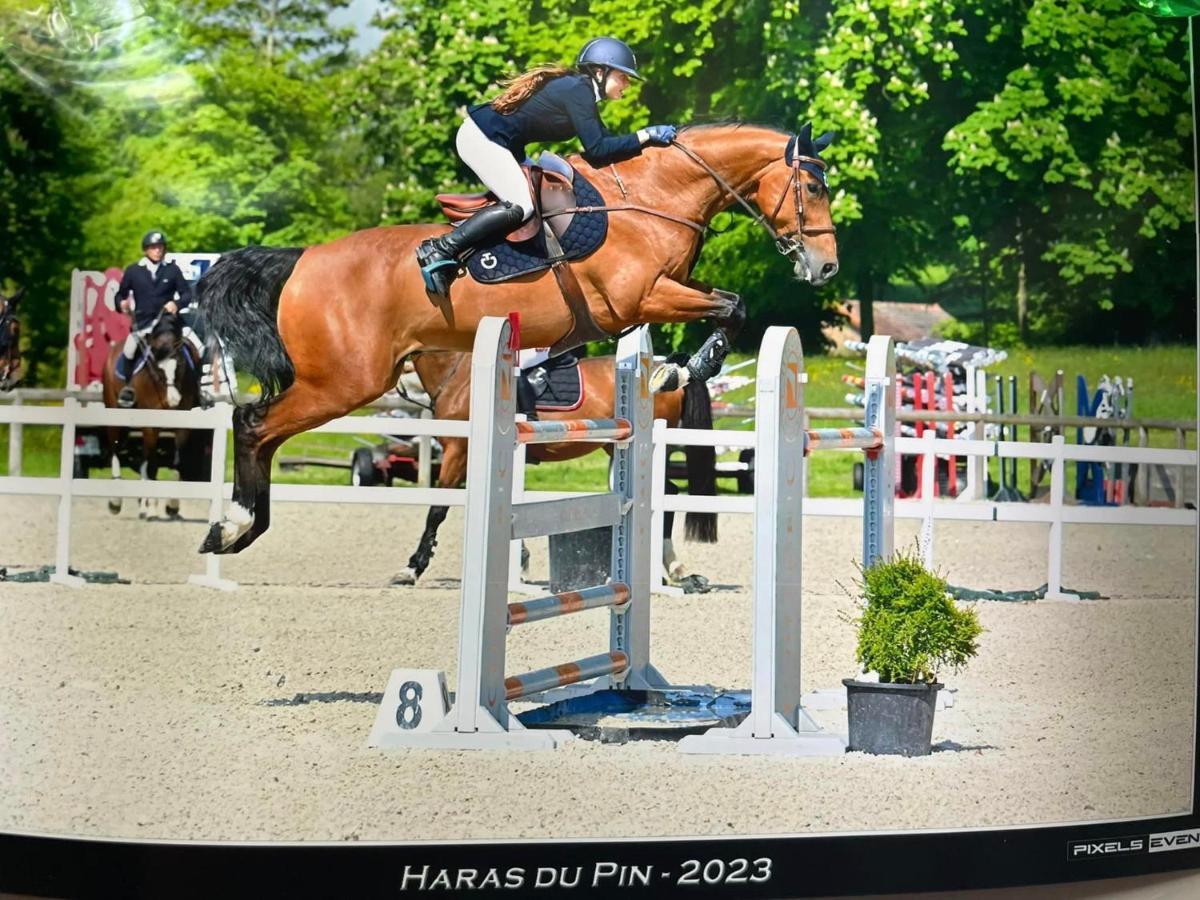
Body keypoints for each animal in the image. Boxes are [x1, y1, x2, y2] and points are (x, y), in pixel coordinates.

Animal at [101, 314, 204, 518]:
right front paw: (152, 507)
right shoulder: (151, 425)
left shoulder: (182, 427)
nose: (173, 400)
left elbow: (176, 462)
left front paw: (172, 505)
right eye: (157, 367)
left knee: (143, 457)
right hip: (115, 414)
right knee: (116, 450)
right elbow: (153, 465)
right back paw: (116, 502)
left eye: (180, 365)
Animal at [194, 122, 835, 554]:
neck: (653, 197)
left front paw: (679, 367)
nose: (825, 267)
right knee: (253, 424)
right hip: (343, 382)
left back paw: (242, 527)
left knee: (261, 429)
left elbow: (730, 304)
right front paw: (683, 367)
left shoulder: (669, 287)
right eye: (811, 186)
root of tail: (303, 259)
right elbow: (733, 307)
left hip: (343, 383)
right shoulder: (640, 298)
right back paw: (234, 525)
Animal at [393, 350, 720, 592]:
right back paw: (673, 573)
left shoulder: (458, 453)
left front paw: (411, 569)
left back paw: (675, 572)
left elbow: (437, 511)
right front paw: (521, 562)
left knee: (668, 495)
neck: (459, 375)